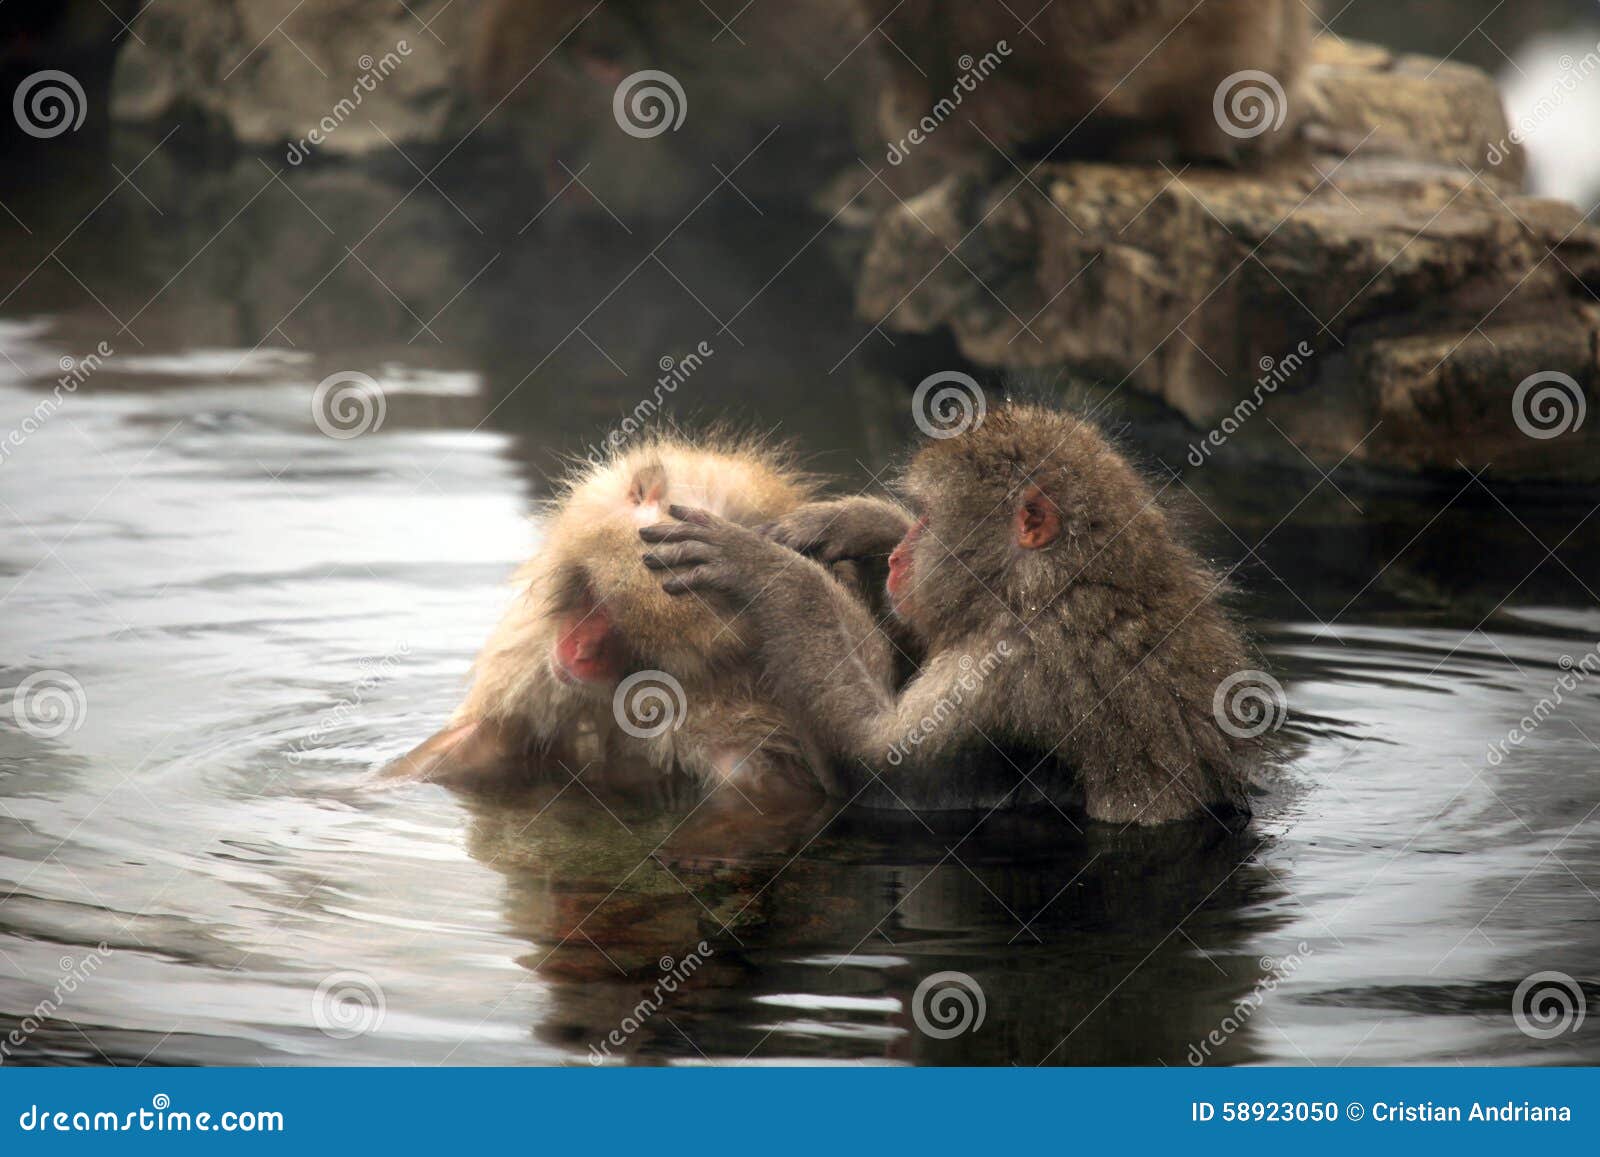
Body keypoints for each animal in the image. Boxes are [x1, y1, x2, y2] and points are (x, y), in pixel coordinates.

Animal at [640, 403, 1268, 825]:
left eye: (932, 518)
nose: (901, 555)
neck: (1050, 589)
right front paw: (861, 524)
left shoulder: (1010, 673)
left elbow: (879, 773)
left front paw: (766, 571)